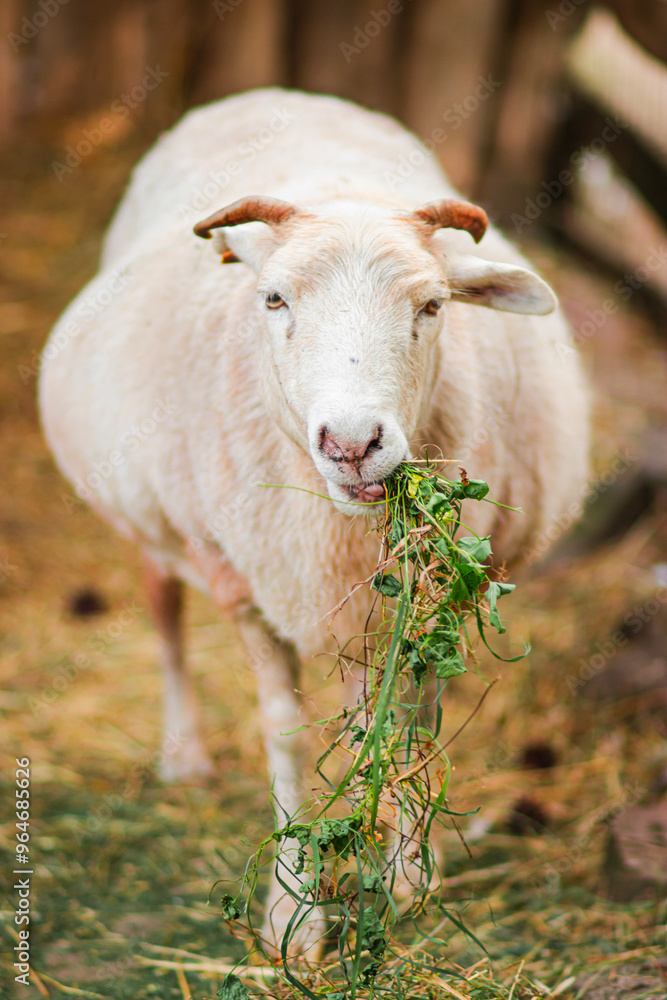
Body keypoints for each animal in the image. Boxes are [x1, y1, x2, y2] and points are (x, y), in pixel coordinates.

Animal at [38, 87, 589, 950]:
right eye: (274, 298)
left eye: (432, 305)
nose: (353, 444)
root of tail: (271, 93)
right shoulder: (245, 580)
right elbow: (284, 731)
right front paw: (293, 913)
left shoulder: (420, 600)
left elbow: (404, 726)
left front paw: (404, 881)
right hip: (157, 523)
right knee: (162, 607)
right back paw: (183, 755)